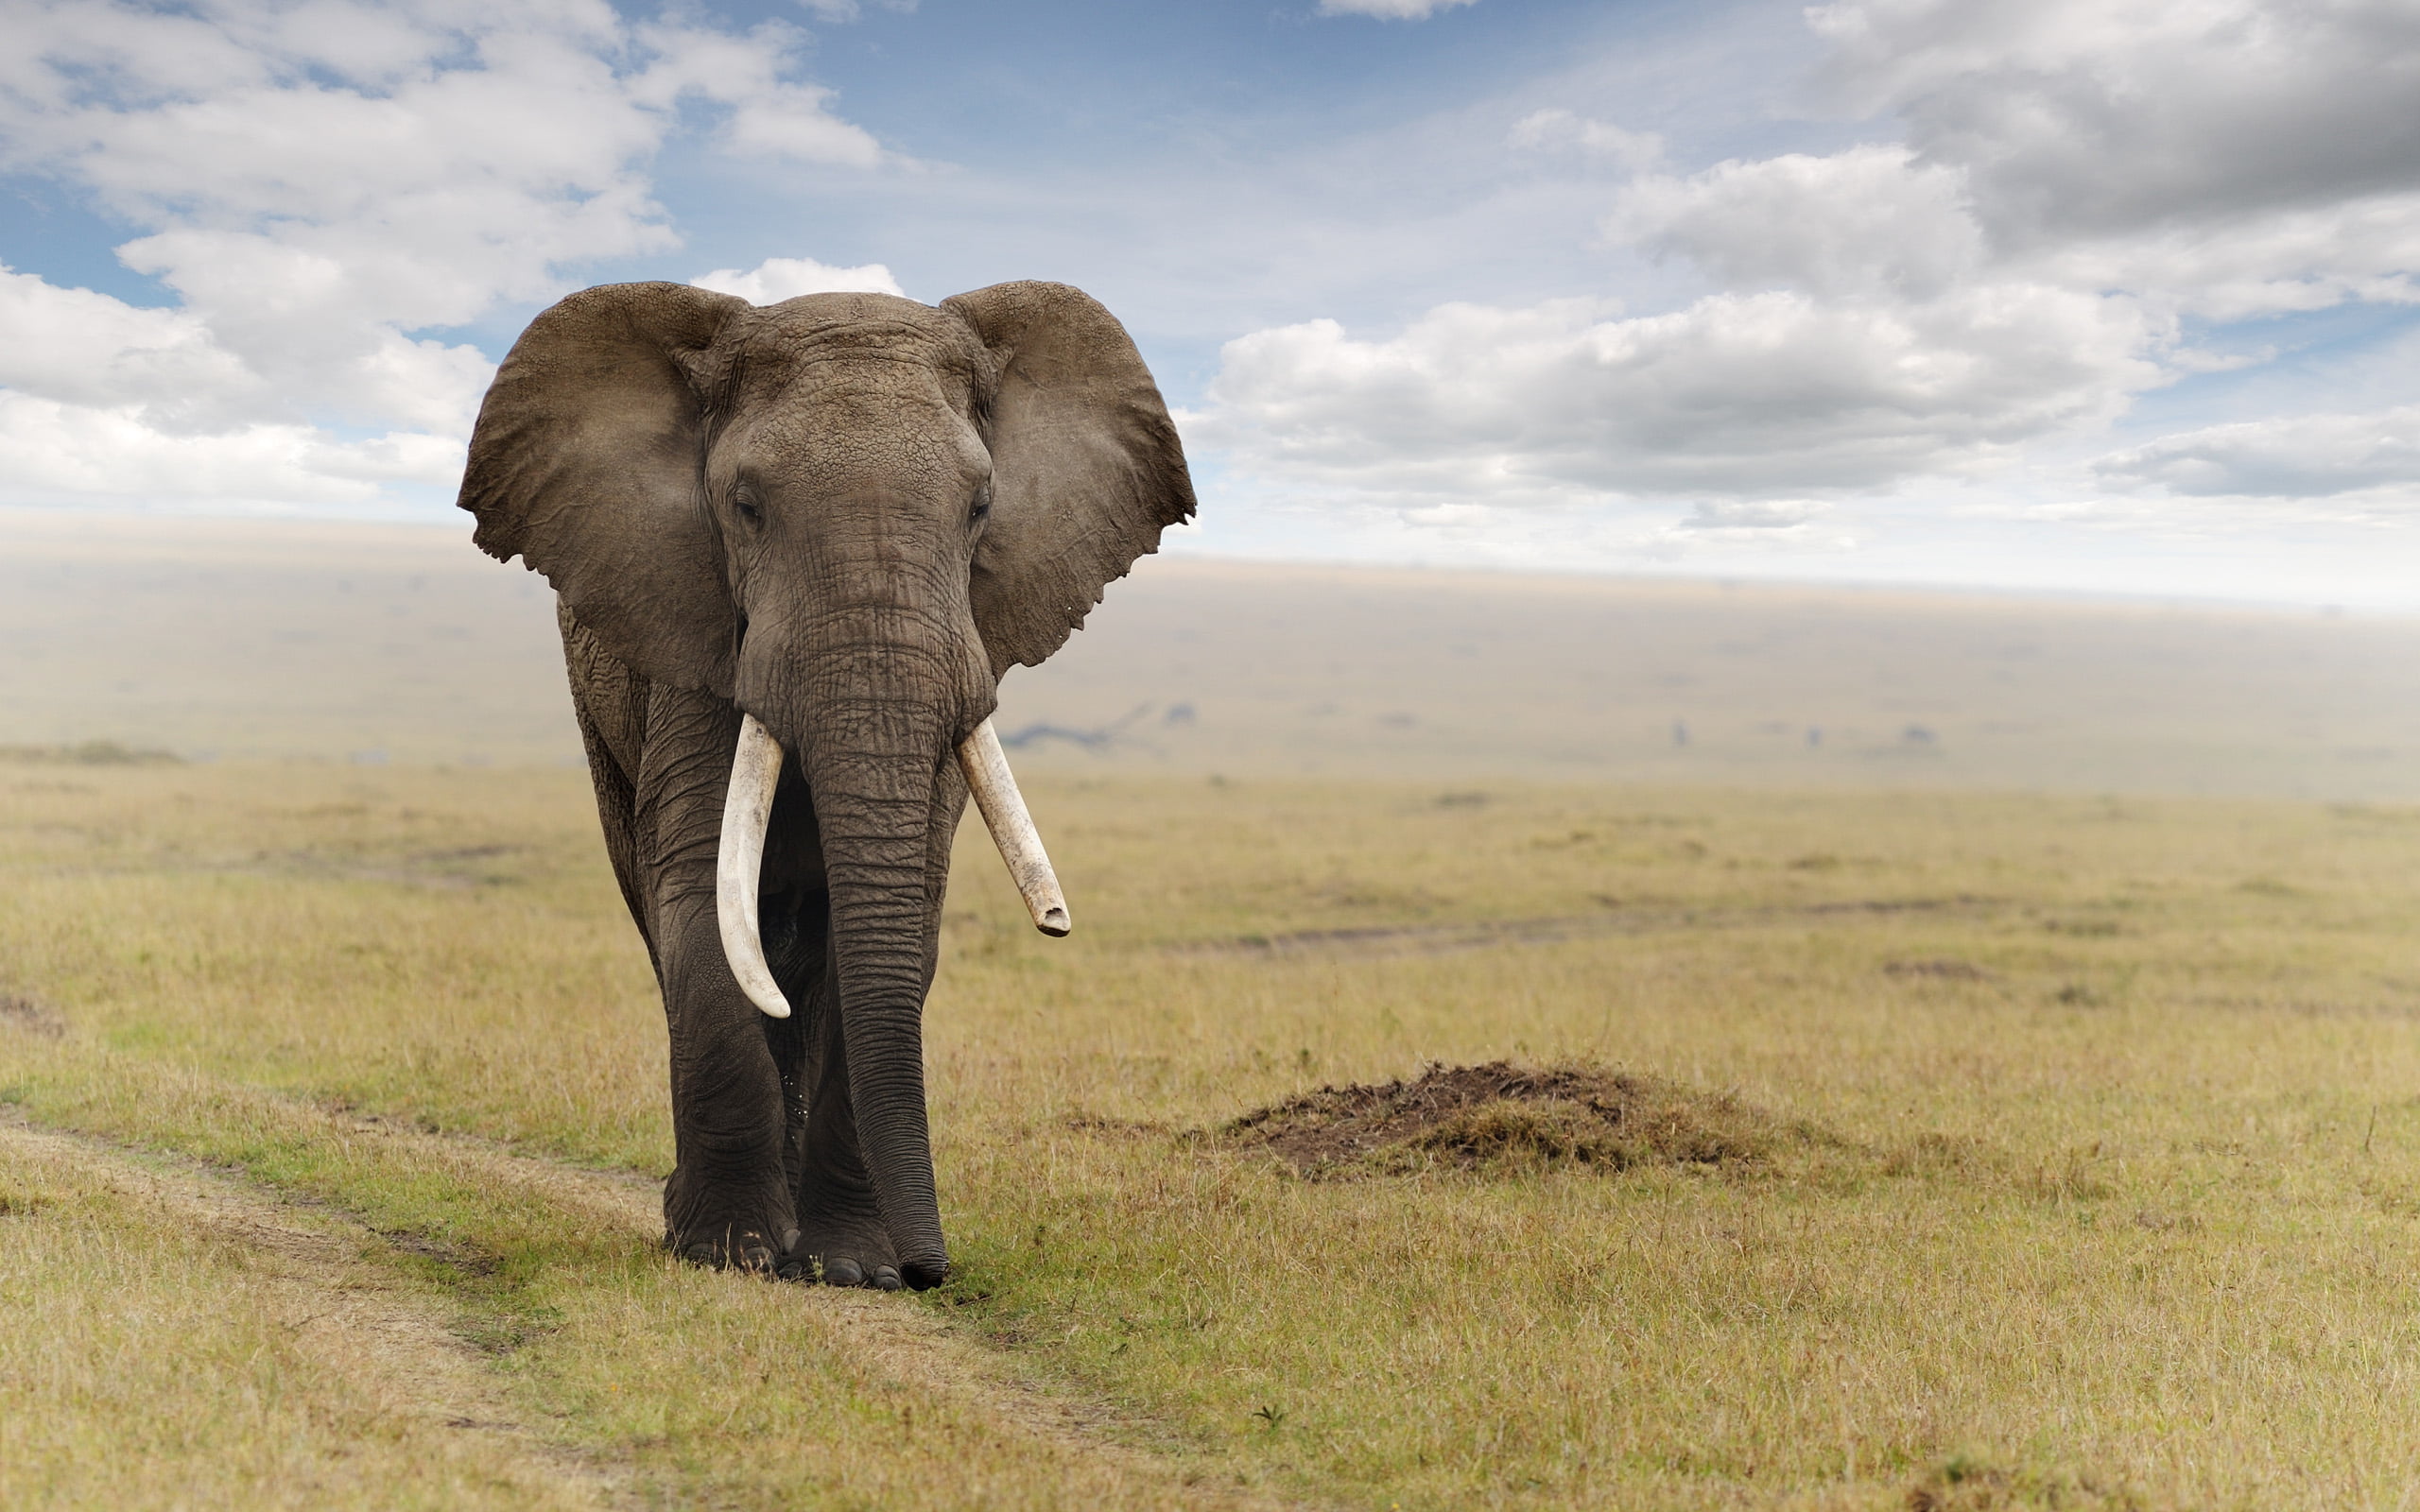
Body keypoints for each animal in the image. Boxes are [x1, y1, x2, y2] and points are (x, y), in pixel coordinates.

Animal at [457, 280, 1195, 1290]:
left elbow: (897, 918)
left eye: (981, 507)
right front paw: (726, 1254)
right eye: (745, 506)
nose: (933, 1273)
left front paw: (850, 1269)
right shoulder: (694, 639)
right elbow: (702, 900)